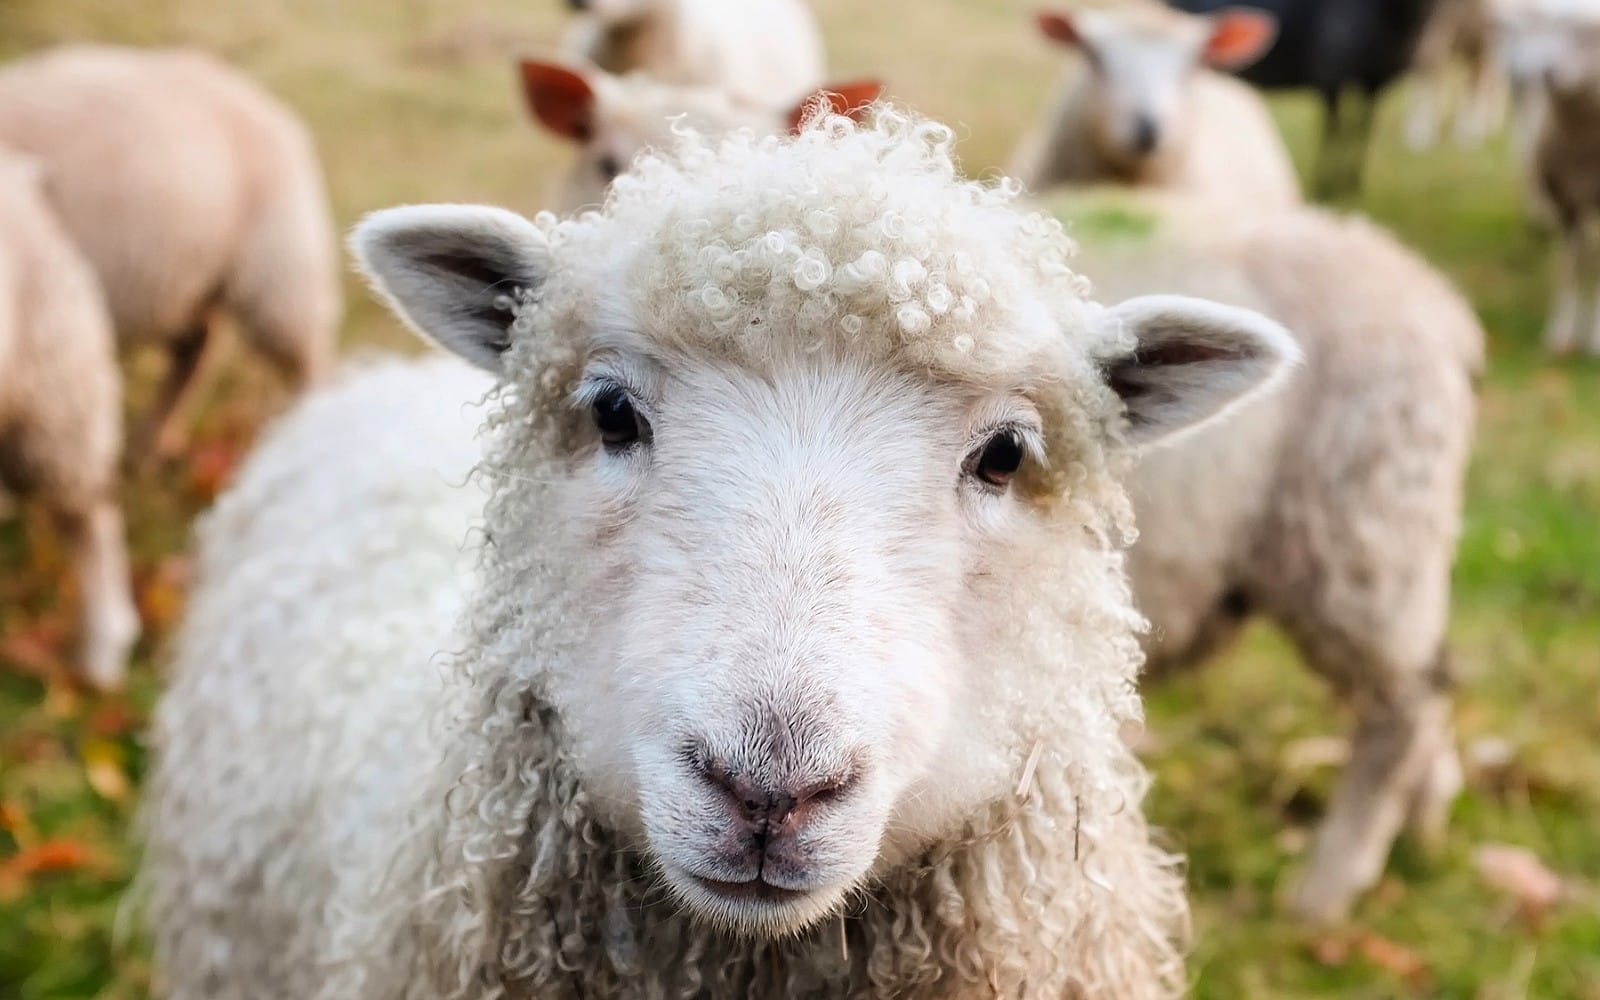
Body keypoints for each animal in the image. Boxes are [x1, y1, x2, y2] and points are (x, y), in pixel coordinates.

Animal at [1166, 0, 1444, 197]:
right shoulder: (1331, 76)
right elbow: (1334, 132)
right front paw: (1326, 185)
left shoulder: (1376, 83)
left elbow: (1362, 131)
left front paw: (1352, 183)